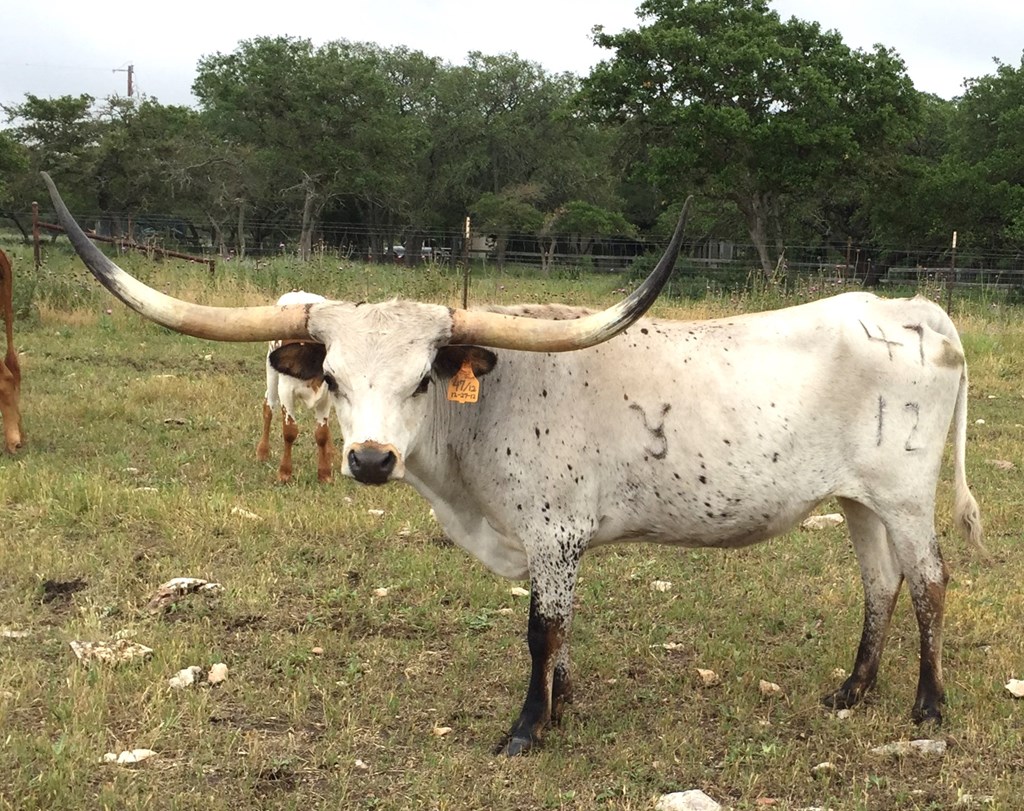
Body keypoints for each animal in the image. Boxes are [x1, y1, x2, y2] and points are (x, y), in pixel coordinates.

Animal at [256, 291, 334, 483]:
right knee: (268, 406)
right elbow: (290, 431)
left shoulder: (326, 397)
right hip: (271, 371)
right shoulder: (286, 391)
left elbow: (322, 433)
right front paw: (284, 473)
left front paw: (325, 473)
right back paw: (262, 452)